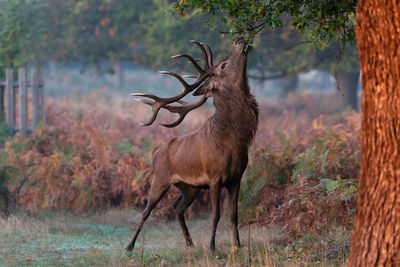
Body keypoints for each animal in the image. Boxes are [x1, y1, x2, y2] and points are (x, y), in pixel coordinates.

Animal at [127, 38, 260, 253]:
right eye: (224, 65)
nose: (239, 41)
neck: (234, 142)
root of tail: (155, 152)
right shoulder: (215, 177)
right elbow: (216, 214)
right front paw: (212, 247)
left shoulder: (236, 178)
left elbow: (234, 215)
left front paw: (238, 246)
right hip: (160, 178)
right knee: (146, 211)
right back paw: (129, 246)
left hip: (190, 187)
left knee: (177, 207)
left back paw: (190, 243)